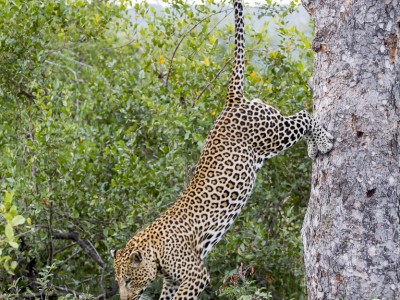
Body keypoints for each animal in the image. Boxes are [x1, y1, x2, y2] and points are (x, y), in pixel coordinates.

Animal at [112, 1, 334, 298]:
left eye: (128, 280)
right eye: (118, 281)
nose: (124, 297)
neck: (156, 251)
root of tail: (231, 102)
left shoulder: (195, 275)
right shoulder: (172, 282)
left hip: (273, 135)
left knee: (303, 115)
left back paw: (322, 142)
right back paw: (314, 147)